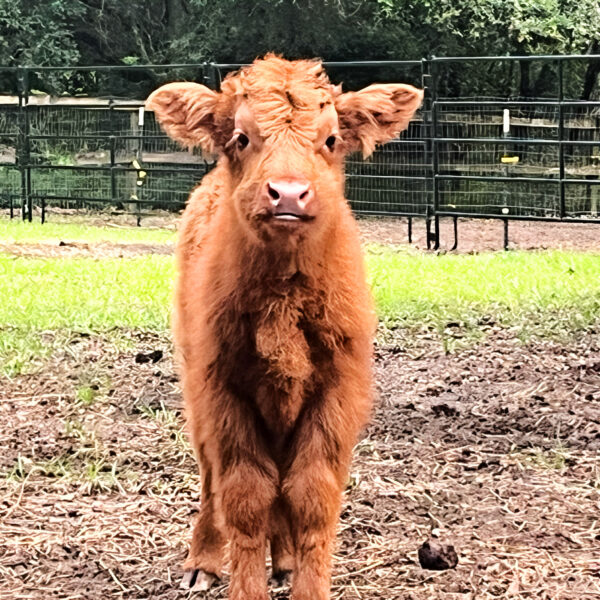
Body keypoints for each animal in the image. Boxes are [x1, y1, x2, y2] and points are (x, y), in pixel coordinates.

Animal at [148, 56, 422, 600]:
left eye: (331, 138)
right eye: (241, 137)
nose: (289, 193)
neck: (284, 301)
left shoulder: (338, 391)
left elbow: (311, 494)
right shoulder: (223, 390)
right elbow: (246, 495)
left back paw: (287, 560)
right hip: (195, 388)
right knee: (211, 477)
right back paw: (203, 561)